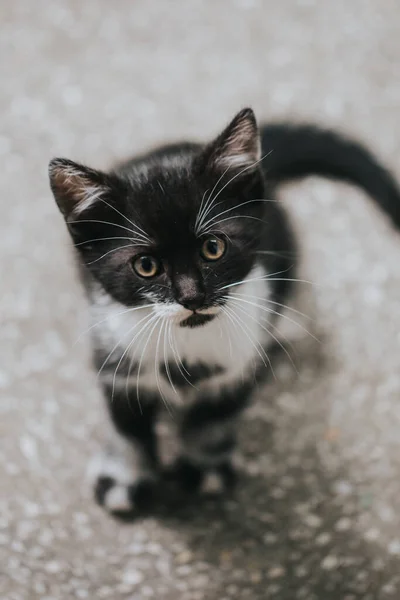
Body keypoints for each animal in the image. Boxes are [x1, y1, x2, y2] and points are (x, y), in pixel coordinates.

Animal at [49, 108, 400, 516]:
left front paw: (204, 469)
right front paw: (124, 477)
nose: (192, 296)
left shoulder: (242, 361)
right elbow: (126, 427)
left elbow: (214, 419)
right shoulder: (114, 358)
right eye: (146, 266)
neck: (187, 339)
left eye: (213, 248)